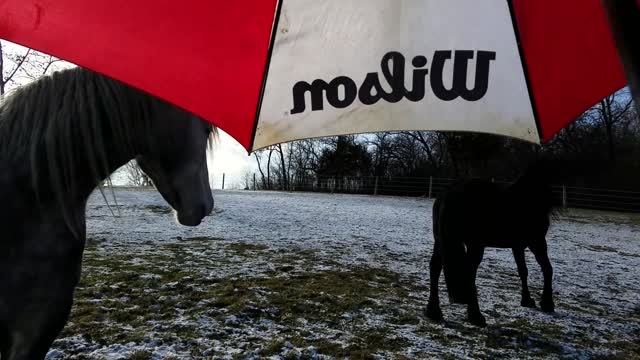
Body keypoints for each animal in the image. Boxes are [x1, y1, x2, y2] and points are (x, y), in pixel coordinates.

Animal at [424, 166, 556, 326]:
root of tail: (449, 192)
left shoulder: (517, 245)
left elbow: (523, 271)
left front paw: (527, 300)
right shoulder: (537, 242)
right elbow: (547, 269)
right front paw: (547, 303)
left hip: (439, 240)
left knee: (435, 267)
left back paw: (433, 311)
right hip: (475, 244)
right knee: (469, 272)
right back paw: (475, 315)